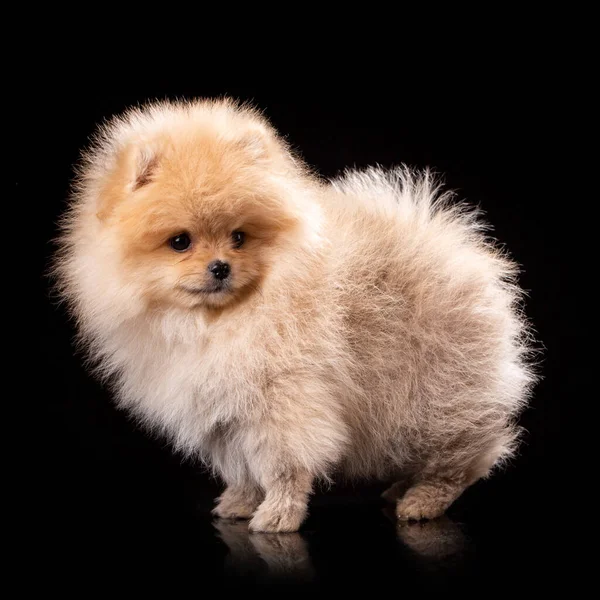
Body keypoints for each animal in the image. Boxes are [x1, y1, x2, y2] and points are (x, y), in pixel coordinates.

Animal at [54, 99, 536, 536]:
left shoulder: (283, 398)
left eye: (238, 237)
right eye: (180, 241)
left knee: (464, 455)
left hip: (437, 393)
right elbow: (241, 466)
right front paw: (240, 501)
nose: (220, 267)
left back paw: (423, 499)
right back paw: (401, 488)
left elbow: (285, 463)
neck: (216, 322)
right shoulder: (226, 408)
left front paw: (278, 514)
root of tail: (450, 246)